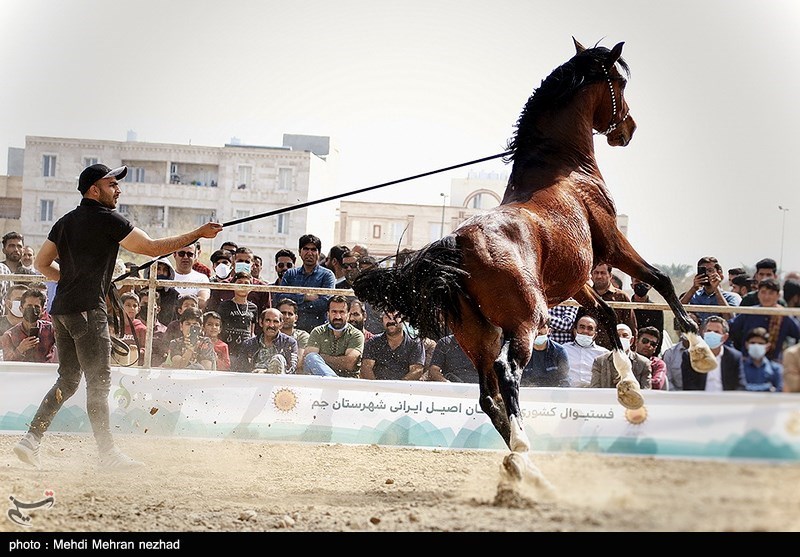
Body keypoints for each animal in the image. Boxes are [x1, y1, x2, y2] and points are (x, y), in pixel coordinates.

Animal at [354, 37, 708, 484]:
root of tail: (457, 242)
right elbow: (660, 280)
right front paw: (699, 348)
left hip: (477, 334)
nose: (627, 129)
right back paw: (524, 453)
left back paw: (526, 465)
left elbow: (608, 314)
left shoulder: (576, 282)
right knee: (507, 374)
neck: (565, 169)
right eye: (620, 83)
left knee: (488, 396)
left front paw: (630, 392)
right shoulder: (612, 244)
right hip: (524, 322)